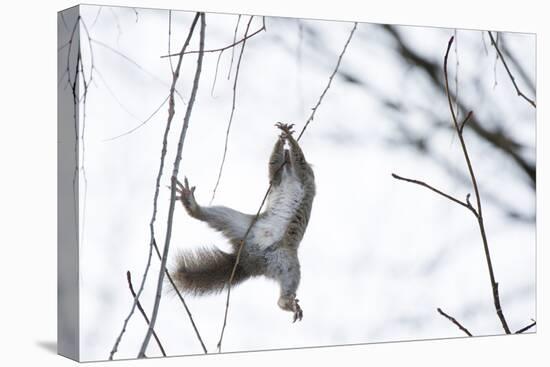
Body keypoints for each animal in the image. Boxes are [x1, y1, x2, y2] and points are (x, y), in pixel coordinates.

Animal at [172, 123, 314, 322]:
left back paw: (287, 303)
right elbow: (273, 166)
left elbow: (300, 160)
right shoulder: (277, 179)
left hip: (288, 264)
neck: (289, 174)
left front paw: (289, 138)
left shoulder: (305, 175)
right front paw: (281, 138)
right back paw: (191, 204)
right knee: (207, 215)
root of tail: (247, 260)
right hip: (237, 223)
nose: (286, 153)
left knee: (287, 287)